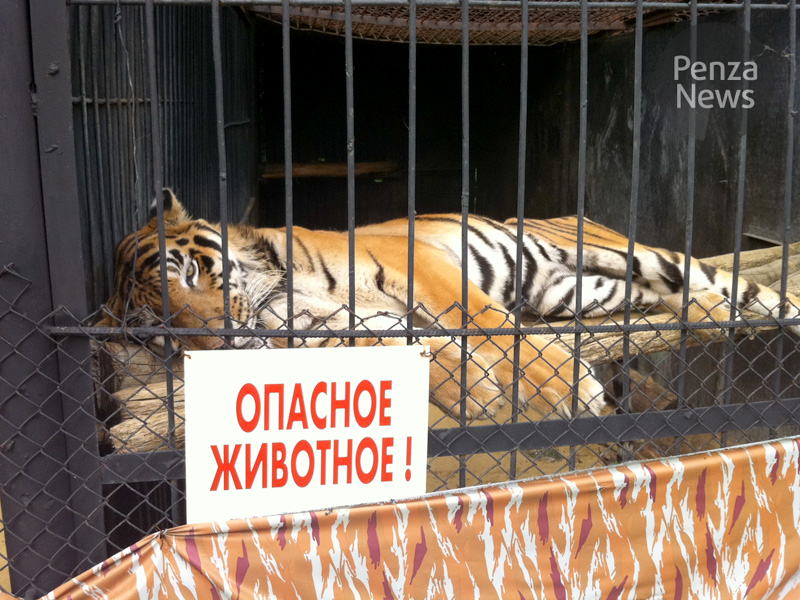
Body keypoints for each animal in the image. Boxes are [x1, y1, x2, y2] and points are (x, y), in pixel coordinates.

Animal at [98, 189, 800, 421]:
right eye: (165, 331)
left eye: (192, 272)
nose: (219, 338)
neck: (274, 290)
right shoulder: (341, 326)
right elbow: (429, 356)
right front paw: (481, 394)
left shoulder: (418, 266)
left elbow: (482, 321)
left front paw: (559, 386)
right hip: (582, 290)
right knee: (688, 295)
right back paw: (707, 315)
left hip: (627, 255)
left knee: (731, 284)